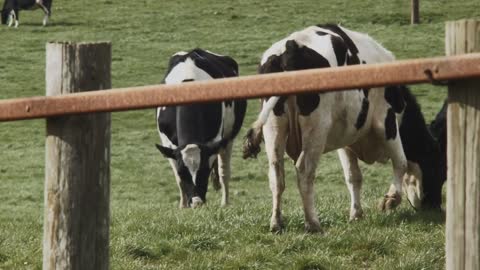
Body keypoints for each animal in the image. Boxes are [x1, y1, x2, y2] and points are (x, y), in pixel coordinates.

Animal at [156, 48, 248, 209]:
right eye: (183, 172)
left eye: (205, 170)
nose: (196, 202)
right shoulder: (168, 145)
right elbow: (178, 179)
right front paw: (183, 206)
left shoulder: (216, 140)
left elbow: (221, 170)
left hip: (229, 138)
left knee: (224, 172)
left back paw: (224, 201)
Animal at [244, 24, 442, 233]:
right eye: (439, 167)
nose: (437, 208)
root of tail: (290, 47)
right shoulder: (386, 121)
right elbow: (401, 162)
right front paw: (390, 200)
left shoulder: (347, 139)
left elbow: (353, 176)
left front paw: (356, 214)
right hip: (317, 129)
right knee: (304, 170)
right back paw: (313, 223)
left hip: (274, 127)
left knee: (276, 173)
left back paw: (276, 223)